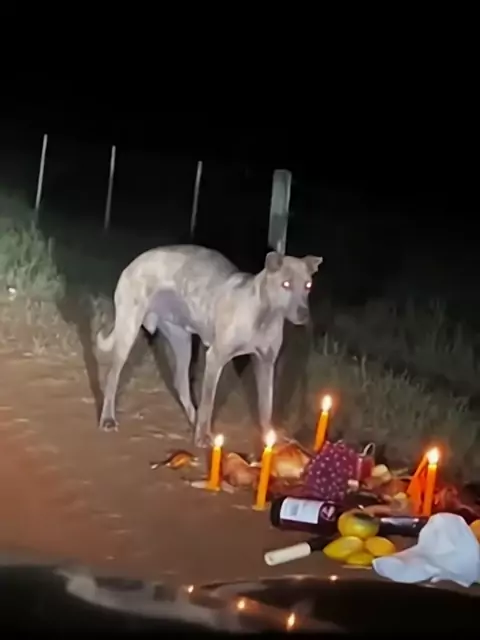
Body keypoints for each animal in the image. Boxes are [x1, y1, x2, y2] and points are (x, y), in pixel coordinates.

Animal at [96, 245, 322, 447]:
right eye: (286, 284)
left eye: (308, 286)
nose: (304, 314)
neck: (264, 315)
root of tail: (134, 262)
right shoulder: (215, 358)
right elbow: (208, 402)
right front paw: (203, 437)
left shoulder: (265, 364)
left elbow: (266, 405)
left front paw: (270, 436)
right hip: (128, 330)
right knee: (113, 375)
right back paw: (108, 419)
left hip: (182, 341)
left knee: (181, 383)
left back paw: (193, 419)